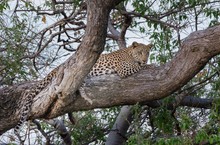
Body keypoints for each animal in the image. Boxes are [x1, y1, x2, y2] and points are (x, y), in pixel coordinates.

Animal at [13, 41, 151, 139]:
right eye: (140, 52)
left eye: (147, 53)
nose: (145, 59)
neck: (129, 52)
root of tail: (58, 67)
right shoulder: (124, 69)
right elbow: (138, 66)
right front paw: (147, 65)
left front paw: (146, 63)